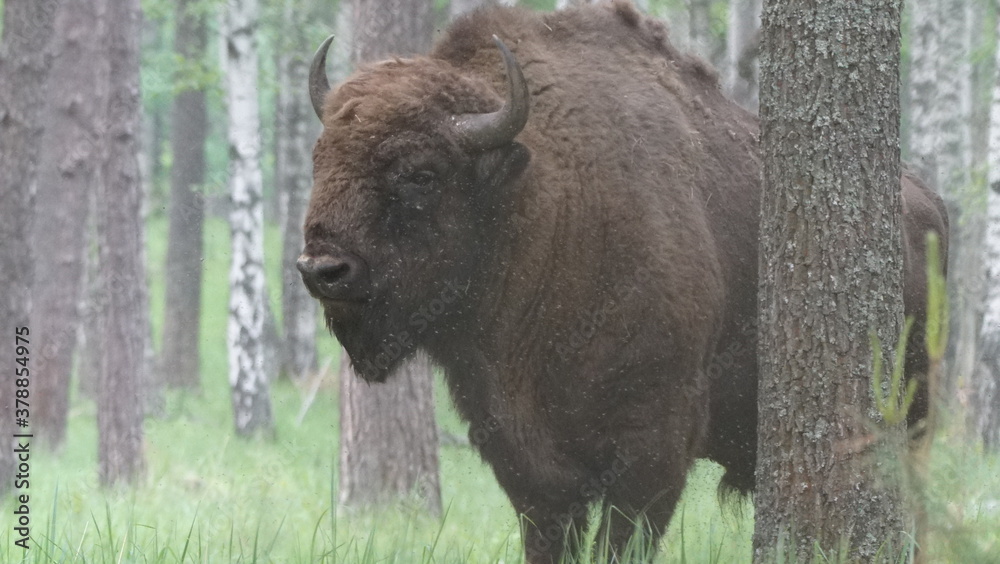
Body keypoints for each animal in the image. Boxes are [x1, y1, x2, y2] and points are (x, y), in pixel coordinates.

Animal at [297, 2, 948, 562]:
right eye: (320, 158)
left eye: (420, 174)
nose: (321, 269)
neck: (540, 202)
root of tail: (927, 203)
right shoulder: (523, 459)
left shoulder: (651, 450)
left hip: (910, 419)